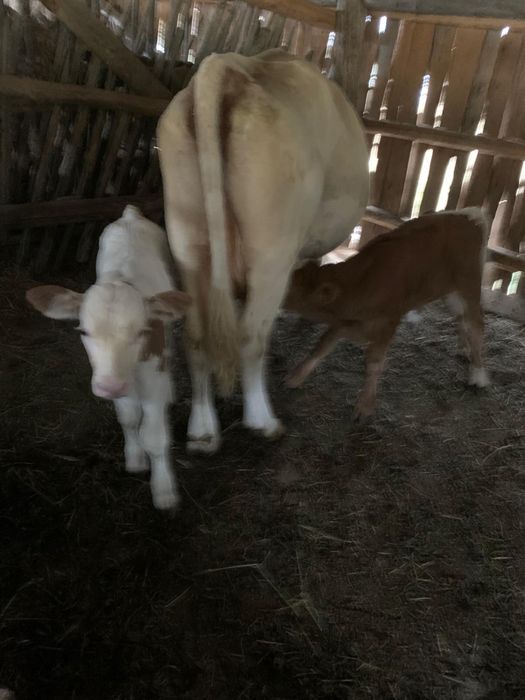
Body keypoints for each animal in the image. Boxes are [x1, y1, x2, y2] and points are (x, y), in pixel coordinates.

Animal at [26, 206, 191, 510]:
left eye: (142, 331)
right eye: (83, 331)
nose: (110, 386)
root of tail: (130, 215)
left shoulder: (152, 379)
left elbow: (154, 436)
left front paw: (163, 490)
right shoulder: (111, 375)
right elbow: (128, 418)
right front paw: (135, 457)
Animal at [157, 49, 369, 453]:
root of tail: (231, 65)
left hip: (188, 239)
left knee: (196, 335)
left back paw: (202, 429)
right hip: (272, 249)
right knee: (250, 335)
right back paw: (262, 420)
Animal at [283, 208, 490, 419]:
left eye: (287, 287)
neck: (363, 281)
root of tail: (466, 214)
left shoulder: (388, 322)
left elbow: (374, 363)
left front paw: (365, 406)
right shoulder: (345, 322)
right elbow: (321, 346)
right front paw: (295, 377)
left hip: (469, 286)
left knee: (476, 324)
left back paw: (478, 375)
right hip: (449, 291)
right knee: (460, 317)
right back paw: (463, 348)